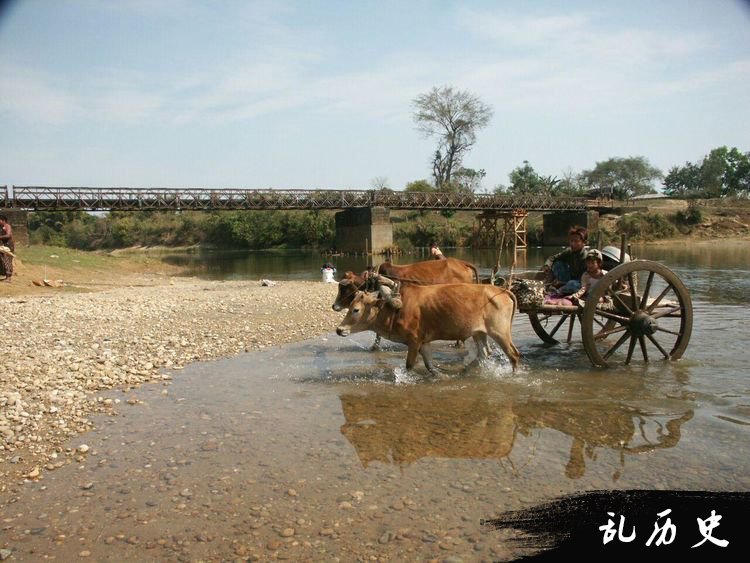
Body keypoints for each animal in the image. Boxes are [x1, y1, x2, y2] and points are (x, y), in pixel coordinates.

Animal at [336, 284, 520, 376]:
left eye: (356, 310)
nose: (339, 329)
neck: (395, 310)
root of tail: (501, 290)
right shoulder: (424, 342)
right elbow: (429, 365)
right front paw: (440, 376)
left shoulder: (414, 341)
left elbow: (409, 365)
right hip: (479, 333)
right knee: (483, 354)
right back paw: (464, 371)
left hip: (500, 332)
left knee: (513, 355)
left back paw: (514, 375)